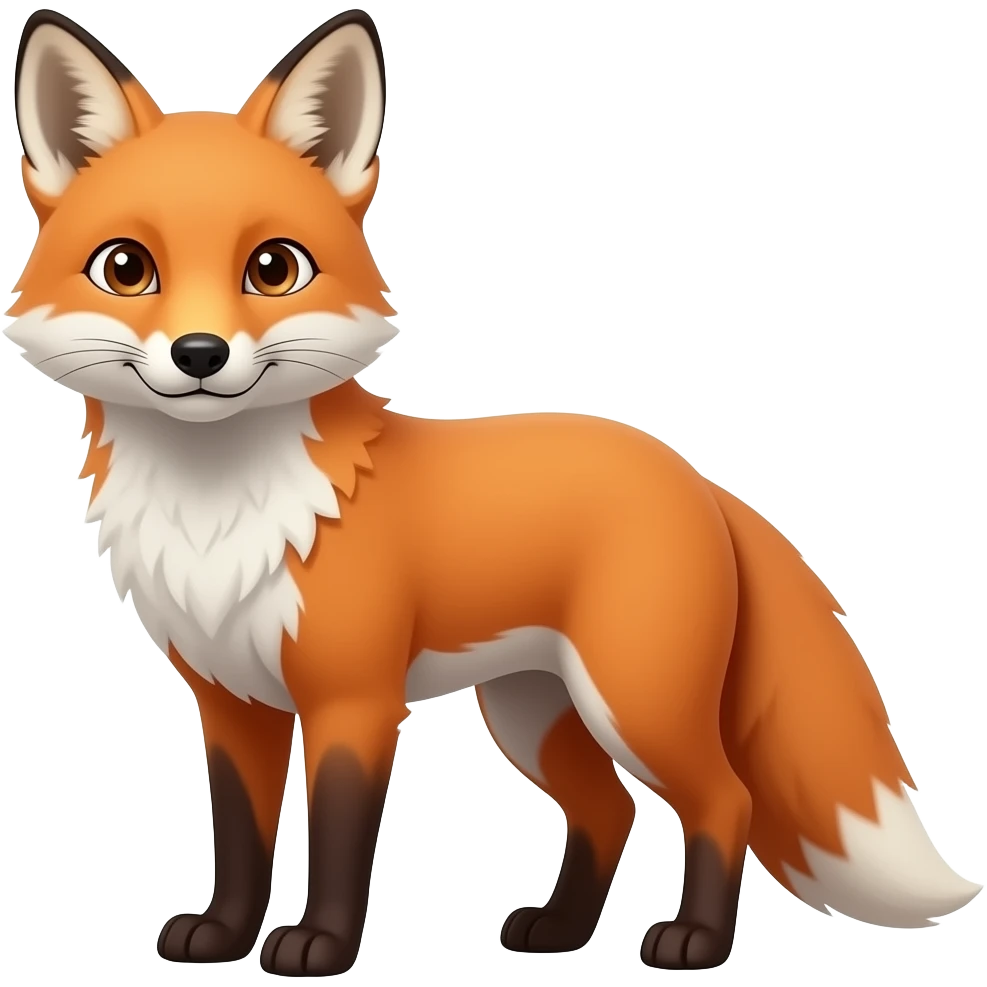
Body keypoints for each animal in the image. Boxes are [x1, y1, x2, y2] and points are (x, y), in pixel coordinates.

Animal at [5, 7, 983, 978]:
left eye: (274, 268)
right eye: (127, 268)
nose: (200, 354)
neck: (219, 513)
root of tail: (695, 475)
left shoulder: (355, 698)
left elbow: (341, 835)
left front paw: (320, 944)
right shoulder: (232, 702)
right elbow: (240, 837)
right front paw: (221, 934)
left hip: (635, 701)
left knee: (722, 799)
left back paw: (693, 941)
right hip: (533, 712)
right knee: (609, 810)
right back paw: (558, 932)